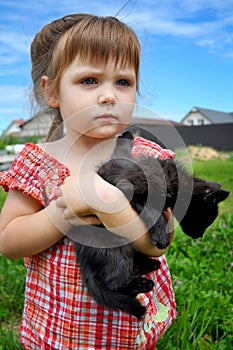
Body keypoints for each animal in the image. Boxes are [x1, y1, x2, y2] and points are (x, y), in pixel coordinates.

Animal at [72, 131, 228, 320]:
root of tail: (85, 262)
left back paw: (149, 265)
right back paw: (142, 285)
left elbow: (120, 151)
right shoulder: (126, 189)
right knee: (114, 283)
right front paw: (161, 236)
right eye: (206, 220)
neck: (170, 180)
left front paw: (126, 136)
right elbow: (153, 212)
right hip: (117, 251)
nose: (198, 236)